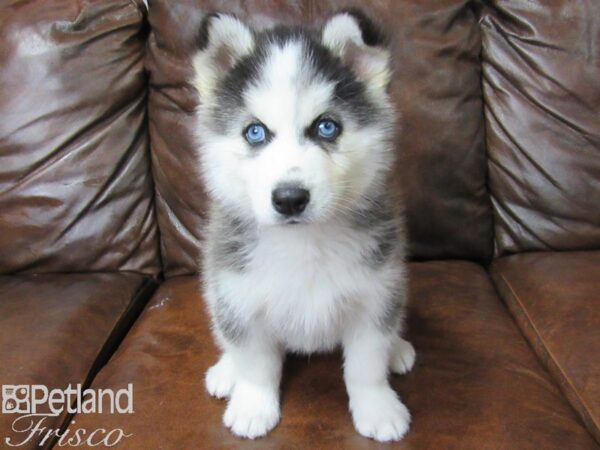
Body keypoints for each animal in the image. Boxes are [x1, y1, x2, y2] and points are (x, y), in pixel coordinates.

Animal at [193, 9, 418, 442]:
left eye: (326, 127)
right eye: (255, 132)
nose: (290, 198)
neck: (304, 244)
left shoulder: (376, 292)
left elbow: (366, 364)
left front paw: (378, 409)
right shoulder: (239, 296)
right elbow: (255, 362)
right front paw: (252, 405)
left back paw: (397, 348)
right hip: (215, 290)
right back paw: (226, 371)